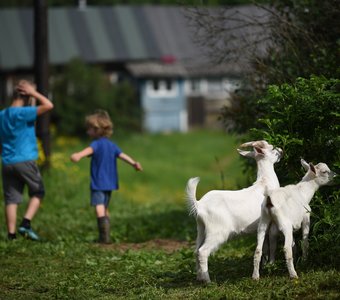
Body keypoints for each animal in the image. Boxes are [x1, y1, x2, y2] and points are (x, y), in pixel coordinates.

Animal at [186, 141, 282, 284]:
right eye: (272, 147)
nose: (281, 150)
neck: (265, 182)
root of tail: (199, 205)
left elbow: (265, 247)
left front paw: (265, 266)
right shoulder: (271, 222)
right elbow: (272, 244)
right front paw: (270, 265)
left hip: (201, 229)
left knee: (196, 250)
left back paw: (199, 277)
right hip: (217, 231)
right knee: (203, 251)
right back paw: (208, 281)